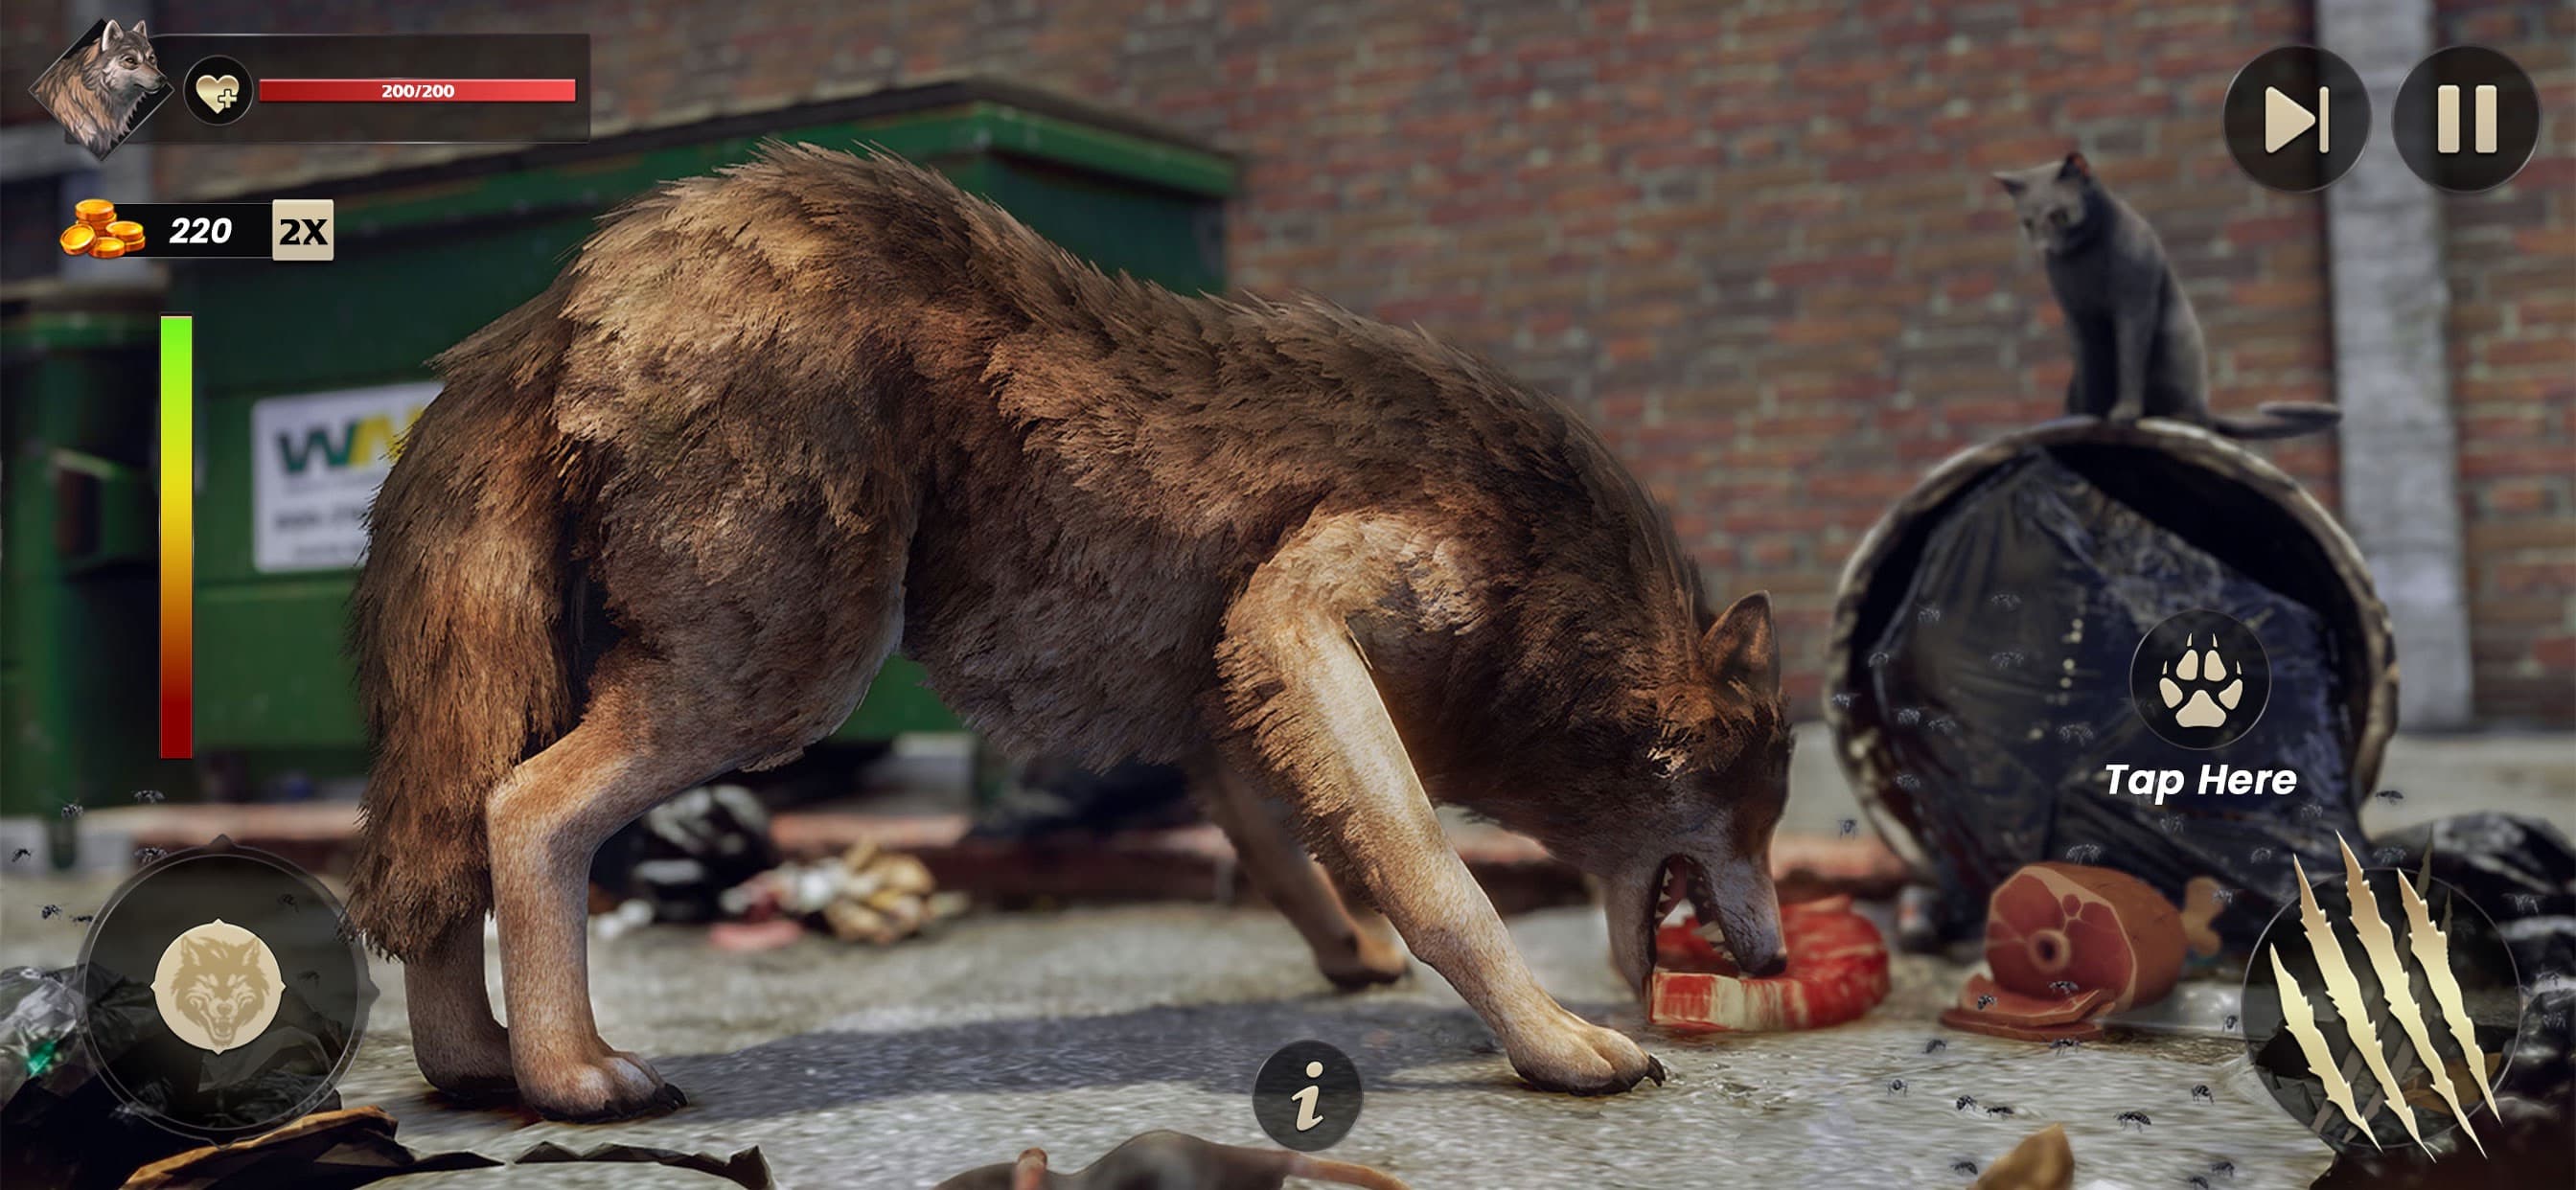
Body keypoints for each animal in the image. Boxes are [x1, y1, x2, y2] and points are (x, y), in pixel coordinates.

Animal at [347, 144, 1792, 1120]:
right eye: (1759, 817)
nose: (1777, 955)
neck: (1557, 592)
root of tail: (567, 295)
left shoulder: (1235, 684)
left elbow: (1297, 851)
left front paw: (1353, 956)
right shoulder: (1303, 613)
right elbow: (1438, 873)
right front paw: (1552, 1042)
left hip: (576, 665)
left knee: (445, 832)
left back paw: (474, 1064)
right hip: (783, 677)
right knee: (524, 810)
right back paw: (573, 1077)